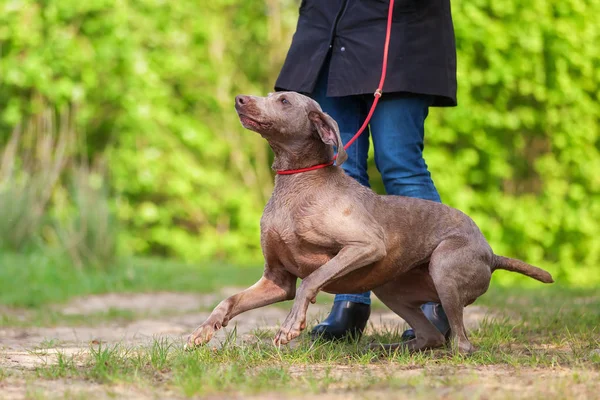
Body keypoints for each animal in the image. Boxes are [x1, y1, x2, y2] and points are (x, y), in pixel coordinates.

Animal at [188, 93, 552, 354]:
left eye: (284, 100)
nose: (239, 98)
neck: (298, 182)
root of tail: (491, 254)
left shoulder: (365, 245)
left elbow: (312, 280)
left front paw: (291, 325)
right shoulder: (277, 280)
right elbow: (229, 300)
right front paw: (204, 330)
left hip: (444, 269)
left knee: (461, 343)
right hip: (391, 288)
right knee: (431, 336)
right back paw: (388, 349)